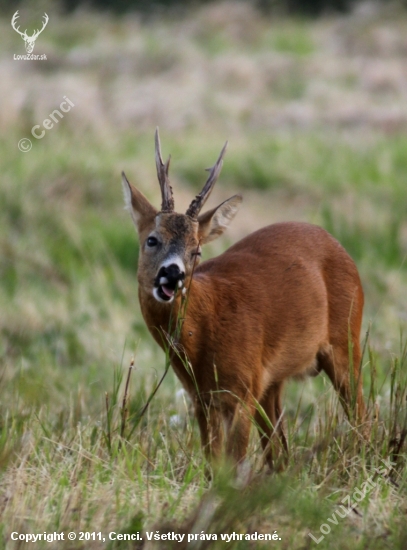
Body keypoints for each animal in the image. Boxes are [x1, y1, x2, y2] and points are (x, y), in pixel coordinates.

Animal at [121, 130, 366, 470]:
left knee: (364, 417)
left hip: (346, 339)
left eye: (196, 250)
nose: (172, 274)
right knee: (280, 451)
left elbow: (233, 466)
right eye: (152, 240)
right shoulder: (202, 398)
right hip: (272, 383)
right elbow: (214, 466)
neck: (205, 328)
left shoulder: (241, 391)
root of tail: (339, 246)